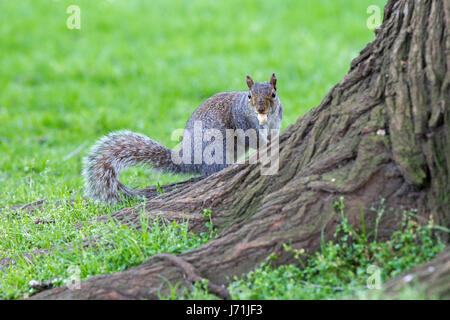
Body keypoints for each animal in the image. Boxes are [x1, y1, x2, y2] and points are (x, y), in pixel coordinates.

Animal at [82, 73, 284, 202]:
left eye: (273, 94)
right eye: (249, 96)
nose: (260, 109)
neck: (266, 119)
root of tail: (188, 158)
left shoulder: (274, 123)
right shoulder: (243, 123)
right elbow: (255, 140)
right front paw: (268, 145)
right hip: (214, 149)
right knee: (212, 171)